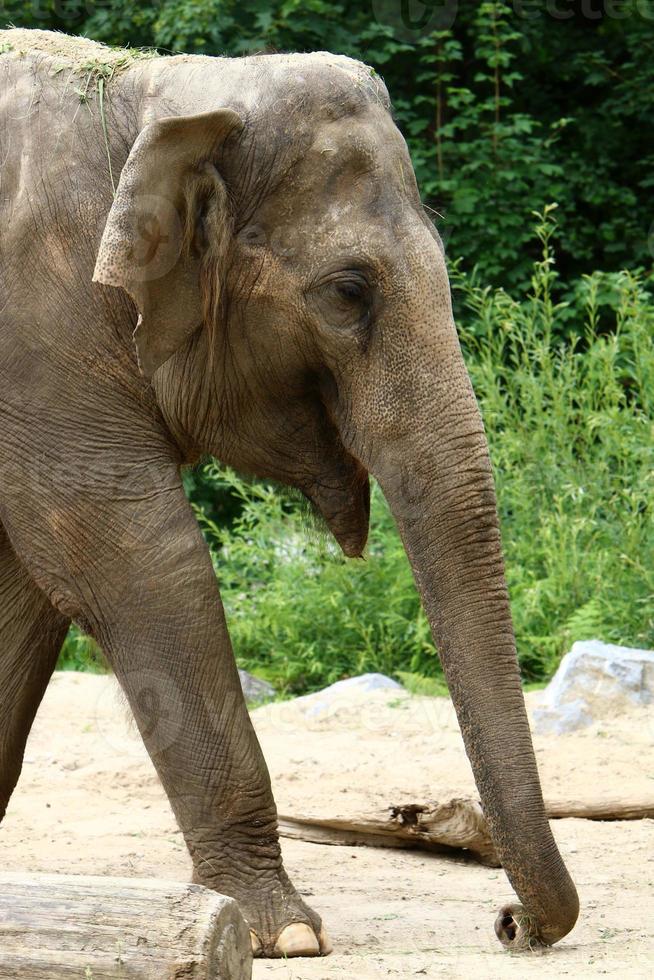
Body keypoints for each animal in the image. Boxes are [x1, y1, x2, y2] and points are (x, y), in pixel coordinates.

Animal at [0, 28, 580, 956]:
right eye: (349, 291)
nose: (509, 923)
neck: (154, 92)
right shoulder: (35, 327)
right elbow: (132, 555)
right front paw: (290, 936)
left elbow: (28, 587)